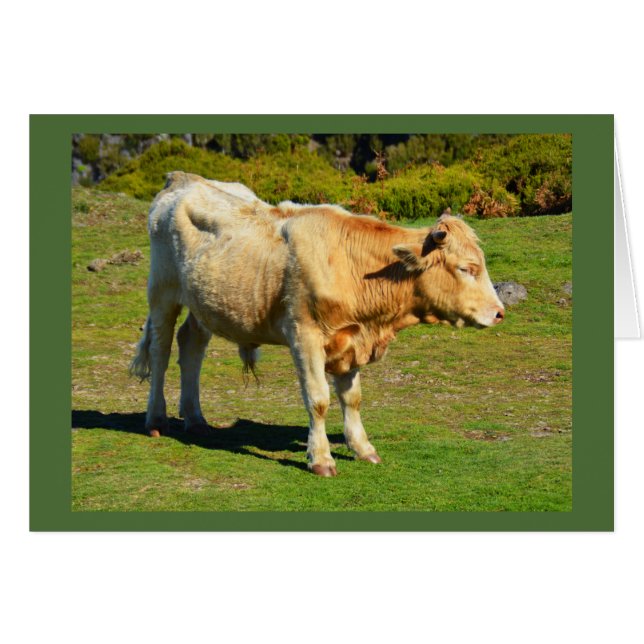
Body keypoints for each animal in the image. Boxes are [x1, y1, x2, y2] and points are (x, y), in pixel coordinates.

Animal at [130, 171, 505, 476]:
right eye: (467, 268)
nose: (499, 312)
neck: (351, 265)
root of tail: (183, 179)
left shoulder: (352, 339)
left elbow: (352, 398)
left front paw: (363, 448)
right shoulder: (304, 335)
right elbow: (319, 398)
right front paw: (321, 459)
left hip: (204, 303)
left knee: (191, 345)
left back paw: (195, 420)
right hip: (162, 293)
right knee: (161, 350)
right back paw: (156, 419)